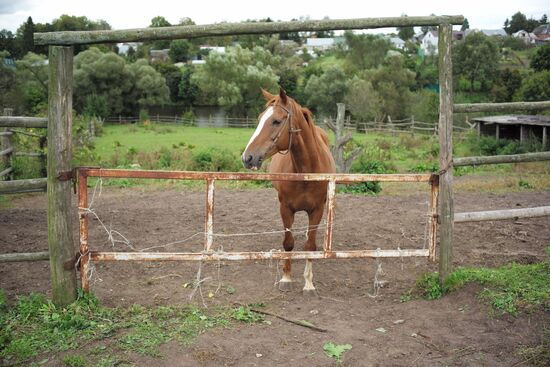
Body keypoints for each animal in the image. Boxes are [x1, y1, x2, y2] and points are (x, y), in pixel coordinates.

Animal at [242, 87, 336, 298]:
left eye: (276, 121)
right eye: (259, 118)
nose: (247, 157)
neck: (305, 171)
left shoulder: (317, 210)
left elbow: (310, 246)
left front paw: (308, 284)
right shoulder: (285, 209)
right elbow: (288, 243)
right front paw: (286, 278)